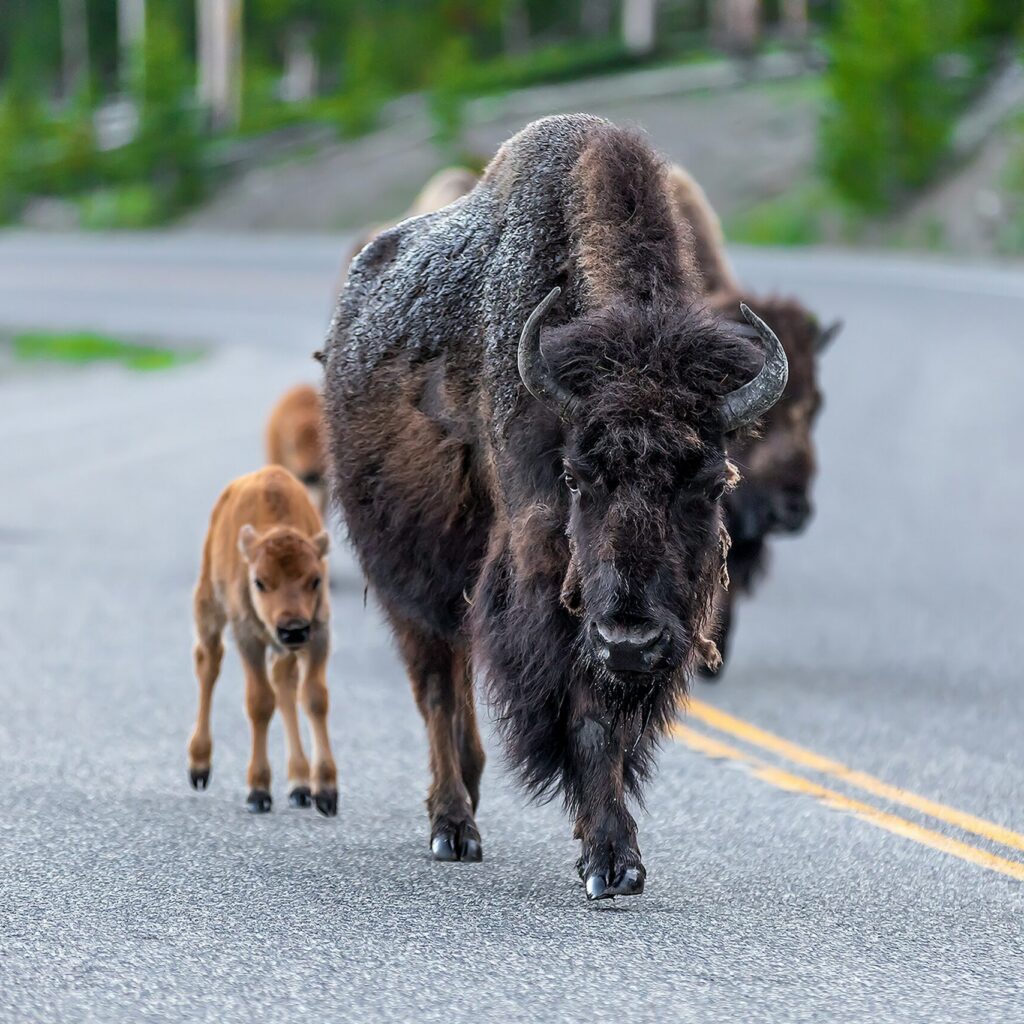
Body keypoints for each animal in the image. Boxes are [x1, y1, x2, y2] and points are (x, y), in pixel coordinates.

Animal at [186, 466, 337, 816]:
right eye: (259, 581)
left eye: (315, 580)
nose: (292, 629)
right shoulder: (248, 638)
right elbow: (259, 702)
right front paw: (258, 791)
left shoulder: (319, 634)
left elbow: (314, 698)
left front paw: (325, 791)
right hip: (209, 605)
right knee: (208, 663)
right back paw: (199, 767)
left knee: (284, 683)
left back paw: (299, 784)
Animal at [321, 115, 788, 900]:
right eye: (576, 477)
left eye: (710, 483)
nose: (630, 640)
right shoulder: (545, 586)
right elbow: (585, 713)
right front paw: (609, 863)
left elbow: (613, 724)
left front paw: (612, 855)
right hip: (405, 577)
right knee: (436, 684)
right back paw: (453, 827)